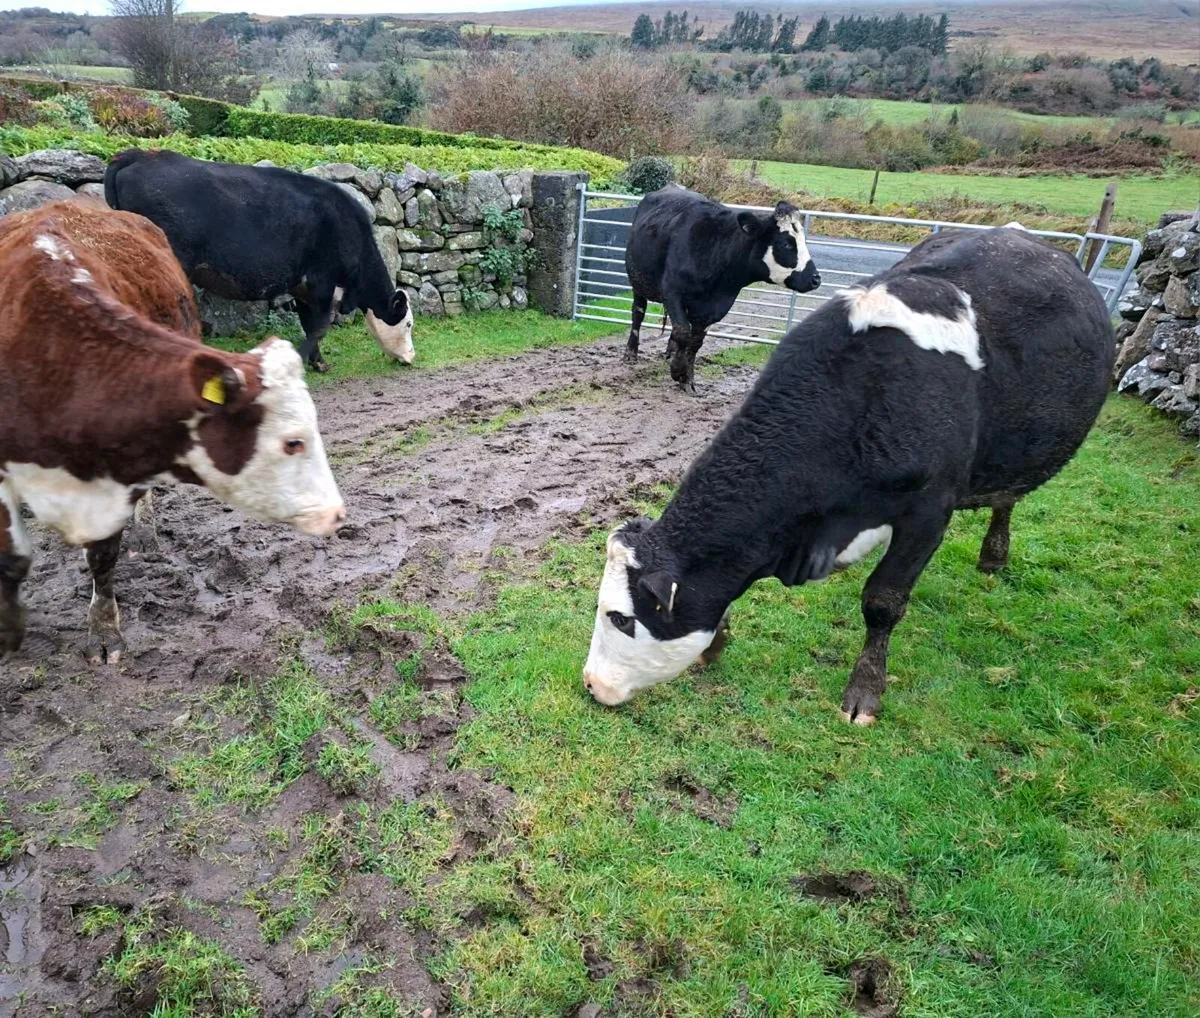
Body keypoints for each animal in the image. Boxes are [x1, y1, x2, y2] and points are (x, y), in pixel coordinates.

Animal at [103, 148, 414, 373]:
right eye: (409, 324)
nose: (412, 356)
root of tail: (139, 155)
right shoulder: (322, 283)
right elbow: (319, 327)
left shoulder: (304, 289)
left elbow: (308, 324)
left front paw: (318, 362)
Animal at [584, 227, 1114, 725]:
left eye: (622, 619)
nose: (591, 683)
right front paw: (716, 644)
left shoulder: (929, 511)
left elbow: (883, 601)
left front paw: (865, 693)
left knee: (1007, 498)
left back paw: (994, 555)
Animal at [623, 187, 821, 392]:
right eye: (787, 244)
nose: (815, 279)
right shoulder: (672, 292)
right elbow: (683, 332)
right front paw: (677, 370)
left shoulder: (716, 306)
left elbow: (695, 341)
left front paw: (687, 377)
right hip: (637, 282)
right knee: (638, 313)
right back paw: (631, 352)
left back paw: (670, 351)